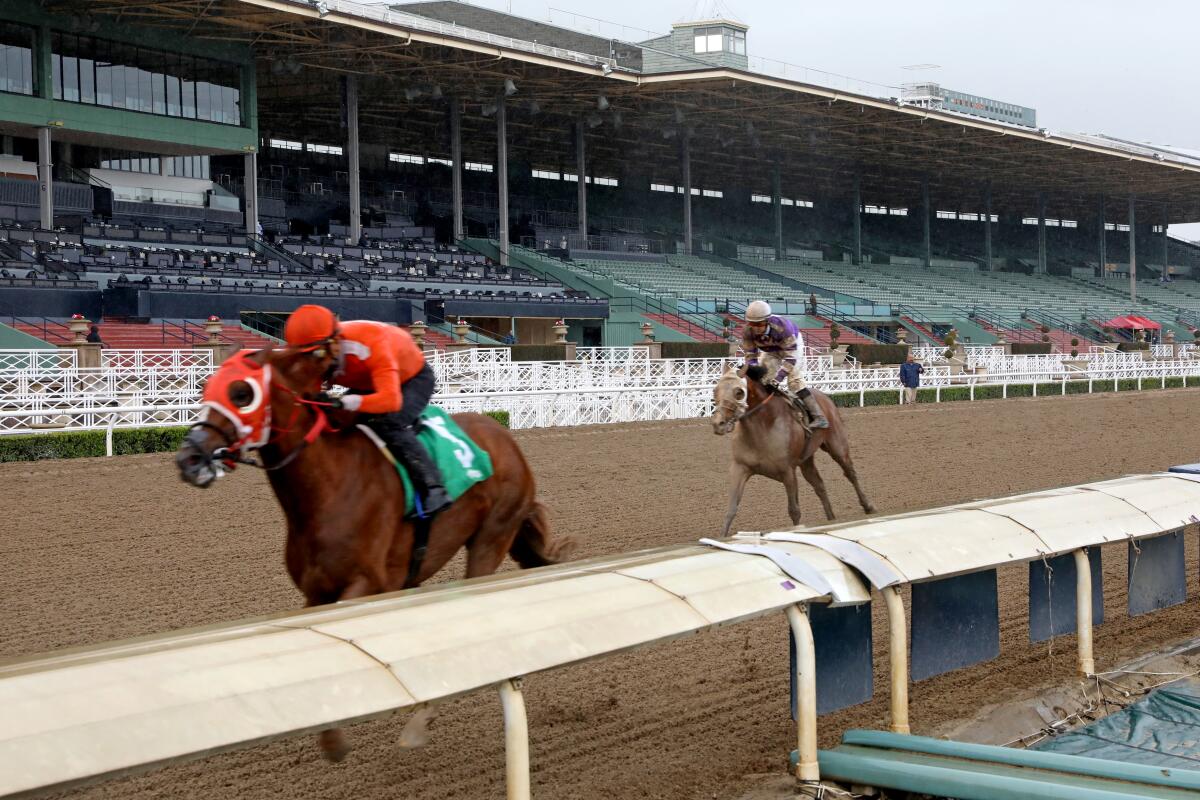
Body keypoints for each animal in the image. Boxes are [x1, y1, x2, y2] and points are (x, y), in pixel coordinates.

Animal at [176, 347, 571, 762]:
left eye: (241, 393)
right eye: (207, 386)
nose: (189, 458)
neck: (329, 487)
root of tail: (506, 439)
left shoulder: (368, 584)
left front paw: (336, 740)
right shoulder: (316, 593)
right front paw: (330, 736)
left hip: (491, 538)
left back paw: (421, 718)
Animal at [710, 367, 873, 534]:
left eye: (739, 392)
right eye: (715, 390)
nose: (718, 423)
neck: (763, 426)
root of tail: (824, 398)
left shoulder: (788, 472)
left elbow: (794, 510)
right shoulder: (739, 468)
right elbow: (731, 510)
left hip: (838, 448)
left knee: (850, 474)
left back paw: (868, 507)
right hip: (806, 461)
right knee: (819, 485)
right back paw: (831, 518)